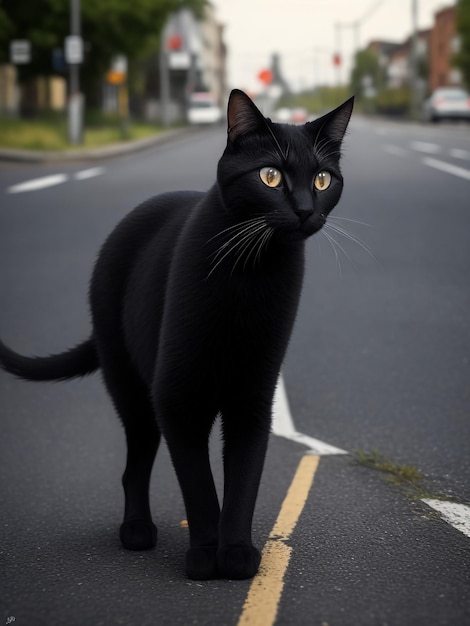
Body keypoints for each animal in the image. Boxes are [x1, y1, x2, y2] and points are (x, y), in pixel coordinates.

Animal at [0, 89, 352, 580]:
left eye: (322, 180)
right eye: (270, 176)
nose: (304, 209)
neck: (252, 273)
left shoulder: (253, 395)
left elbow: (244, 478)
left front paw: (236, 553)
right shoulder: (177, 396)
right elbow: (198, 484)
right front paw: (205, 556)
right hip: (131, 389)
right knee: (133, 467)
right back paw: (136, 531)